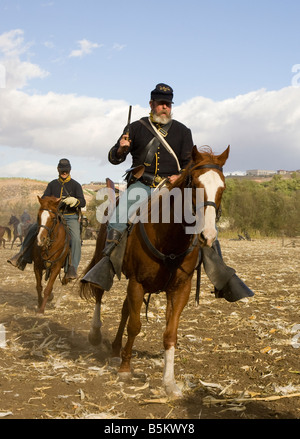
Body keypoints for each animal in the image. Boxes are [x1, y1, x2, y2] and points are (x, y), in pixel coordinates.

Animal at [79, 145, 230, 398]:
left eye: (222, 187)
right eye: (194, 184)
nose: (207, 235)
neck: (168, 237)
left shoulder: (180, 289)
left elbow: (169, 334)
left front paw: (169, 382)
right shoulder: (137, 283)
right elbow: (135, 326)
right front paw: (125, 369)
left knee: (125, 310)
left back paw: (116, 349)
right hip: (104, 258)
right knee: (100, 292)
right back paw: (96, 334)